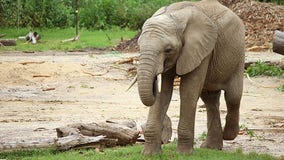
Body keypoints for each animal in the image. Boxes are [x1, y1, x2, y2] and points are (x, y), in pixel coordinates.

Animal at [136, 0, 245, 156]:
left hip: (238, 52)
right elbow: (164, 93)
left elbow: (188, 91)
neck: (174, 14)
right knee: (210, 100)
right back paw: (211, 147)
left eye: (168, 50)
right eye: (139, 46)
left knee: (233, 96)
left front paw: (184, 154)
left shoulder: (202, 49)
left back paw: (228, 135)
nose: (154, 81)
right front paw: (150, 154)